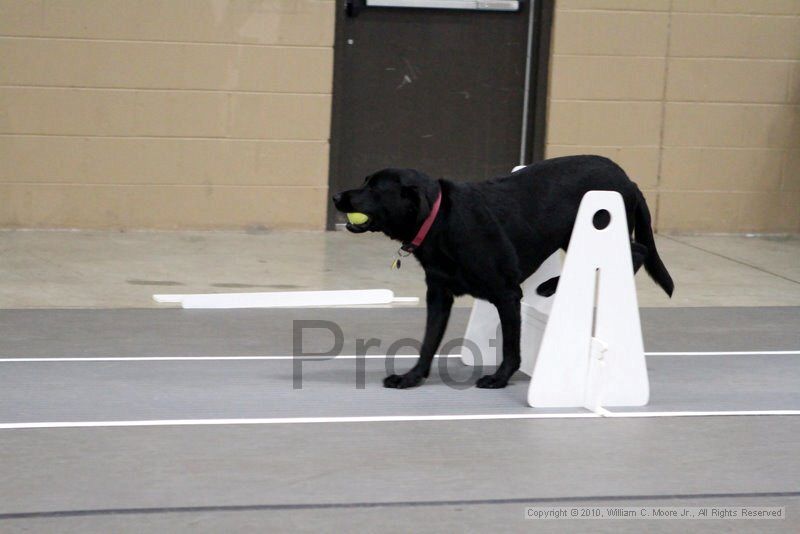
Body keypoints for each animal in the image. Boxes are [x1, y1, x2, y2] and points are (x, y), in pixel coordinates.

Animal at [332, 157, 676, 392]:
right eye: (365, 181)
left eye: (374, 189)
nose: (336, 196)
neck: (441, 221)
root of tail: (629, 180)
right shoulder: (439, 295)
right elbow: (429, 340)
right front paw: (412, 377)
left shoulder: (507, 294)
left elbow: (512, 345)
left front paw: (499, 377)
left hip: (599, 223)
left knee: (638, 251)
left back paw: (557, 284)